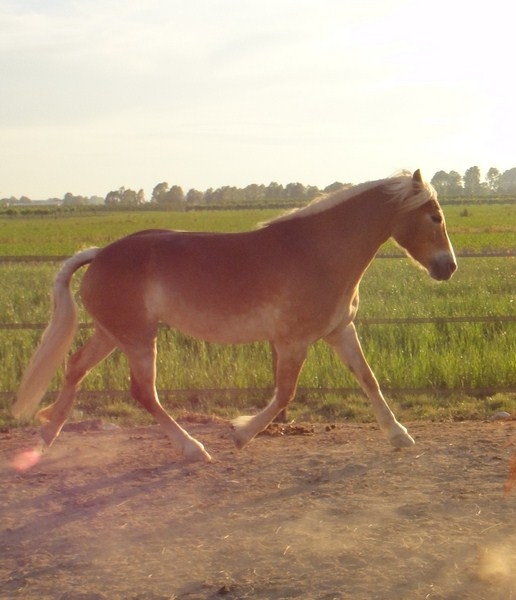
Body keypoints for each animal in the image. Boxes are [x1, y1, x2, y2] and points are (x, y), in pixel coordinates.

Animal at [11, 171, 456, 462]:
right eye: (435, 217)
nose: (448, 267)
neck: (318, 251)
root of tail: (100, 254)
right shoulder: (292, 342)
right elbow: (284, 395)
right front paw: (241, 433)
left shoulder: (339, 331)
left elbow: (368, 379)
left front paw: (399, 435)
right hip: (138, 339)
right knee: (143, 392)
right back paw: (192, 448)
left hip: (112, 333)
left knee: (75, 367)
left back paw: (45, 435)